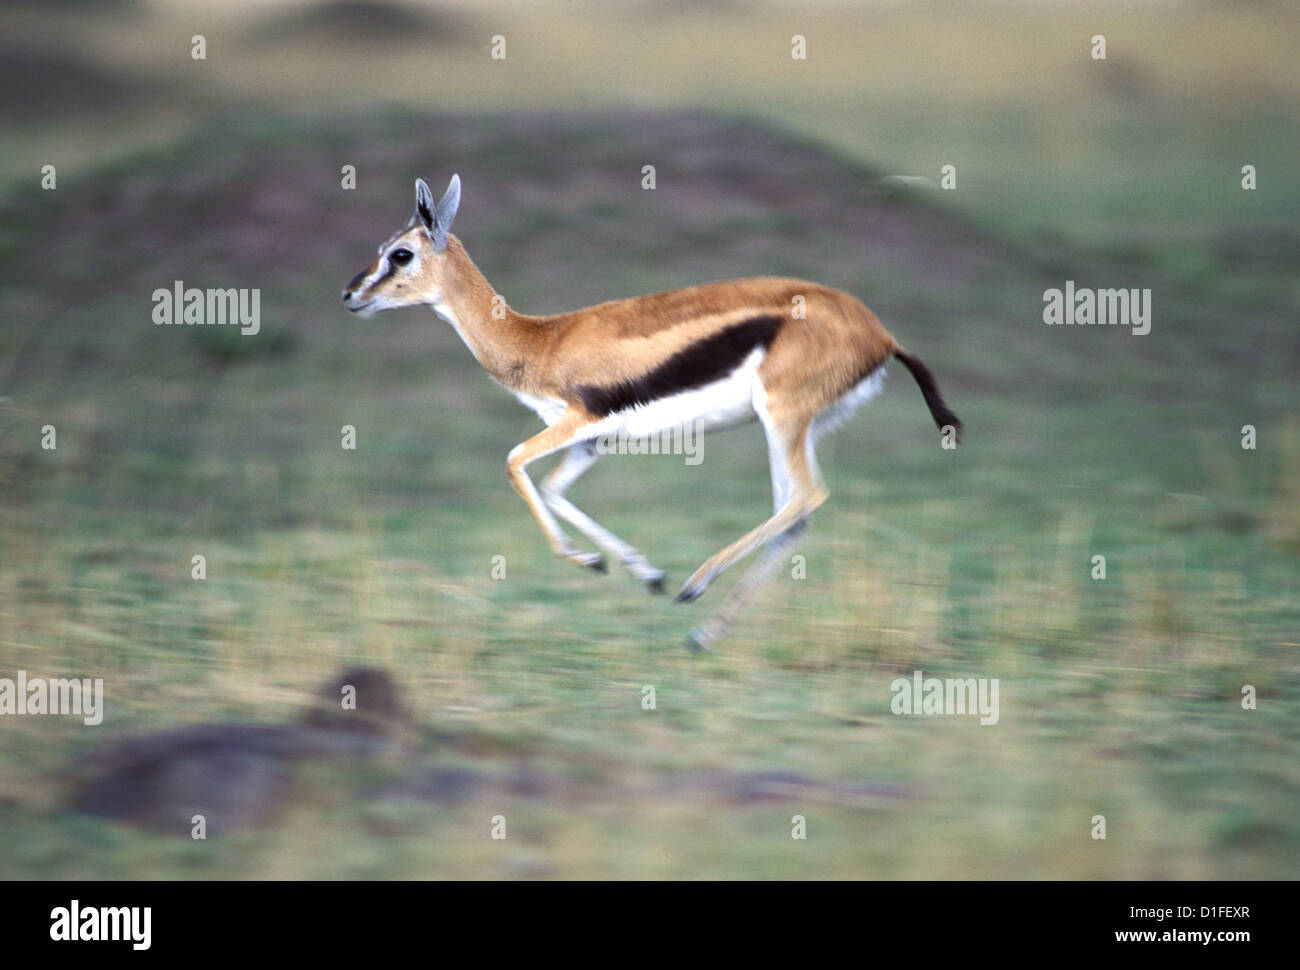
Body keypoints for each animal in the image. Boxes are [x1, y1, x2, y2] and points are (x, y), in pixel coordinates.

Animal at [342, 175, 963, 648]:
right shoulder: (594, 441)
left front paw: (610, 565)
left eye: (401, 253)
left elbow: (516, 463)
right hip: (794, 427)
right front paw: (632, 571)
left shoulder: (581, 421)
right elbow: (554, 489)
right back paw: (704, 633)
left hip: (781, 418)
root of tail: (880, 333)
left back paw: (697, 586)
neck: (541, 342)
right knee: (794, 515)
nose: (350, 295)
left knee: (806, 497)